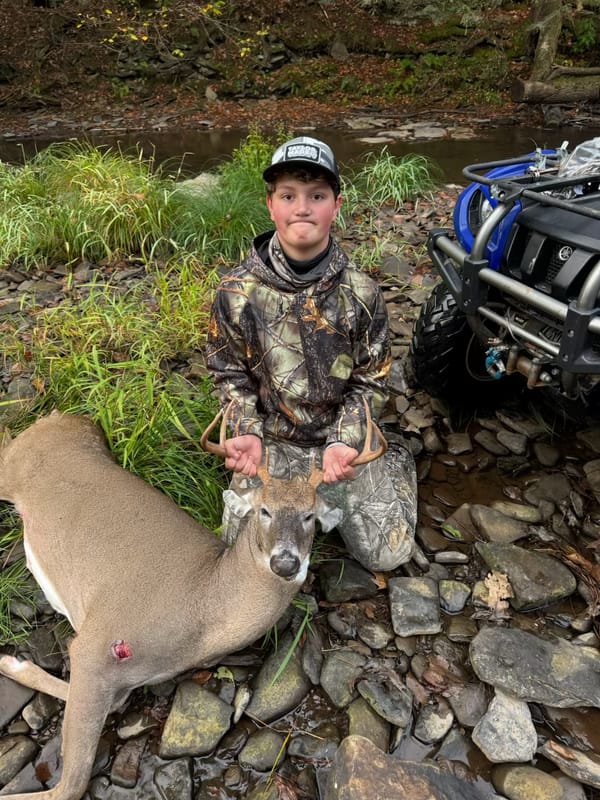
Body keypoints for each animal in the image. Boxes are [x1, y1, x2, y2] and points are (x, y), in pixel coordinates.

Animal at [0, 402, 386, 800]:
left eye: (310, 516)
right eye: (264, 510)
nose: (285, 563)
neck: (202, 609)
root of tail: (62, 416)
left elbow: (114, 706)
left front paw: (11, 661)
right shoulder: (97, 642)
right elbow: (71, 785)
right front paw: (10, 662)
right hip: (10, 468)